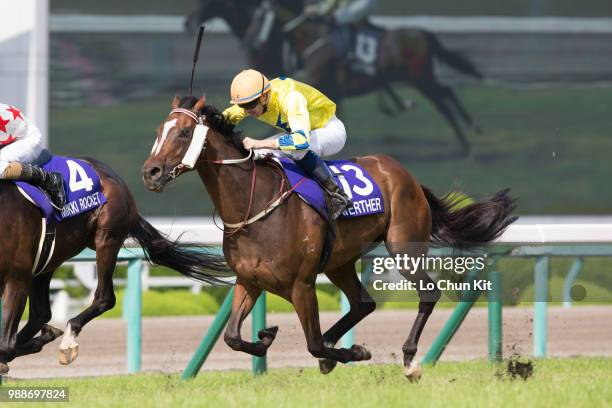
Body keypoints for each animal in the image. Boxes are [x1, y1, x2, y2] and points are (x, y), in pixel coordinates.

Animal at [0, 158, 227, 374]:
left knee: (105, 298)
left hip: (106, 238)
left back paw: (67, 338)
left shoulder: (17, 278)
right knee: (40, 314)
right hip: (50, 259)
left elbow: (6, 345)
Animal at [141, 95, 512, 380]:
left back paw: (409, 359)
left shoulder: (301, 285)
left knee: (427, 293)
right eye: (159, 132)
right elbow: (232, 337)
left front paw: (355, 352)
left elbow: (313, 342)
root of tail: (406, 175)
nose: (151, 172)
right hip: (339, 262)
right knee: (364, 303)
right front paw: (266, 336)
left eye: (184, 132)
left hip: (403, 248)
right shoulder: (249, 281)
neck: (254, 203)